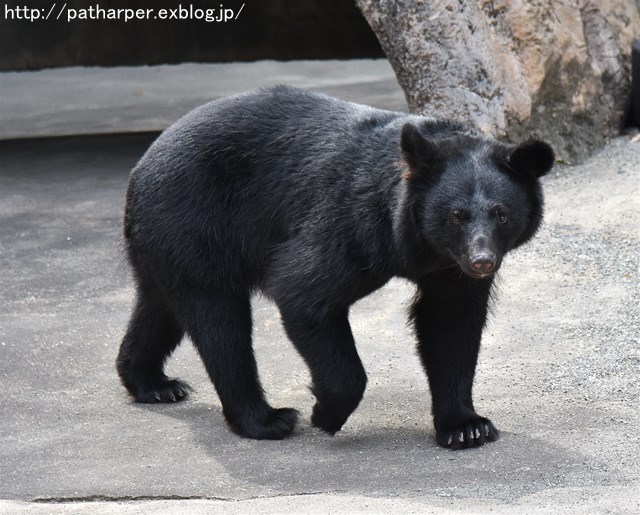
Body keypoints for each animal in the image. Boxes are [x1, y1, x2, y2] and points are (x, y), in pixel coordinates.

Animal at [117, 84, 552, 448]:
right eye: (457, 215)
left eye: (501, 214)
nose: (482, 261)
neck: (420, 246)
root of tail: (142, 165)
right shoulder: (353, 223)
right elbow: (304, 291)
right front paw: (325, 413)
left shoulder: (447, 269)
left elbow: (450, 322)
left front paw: (467, 426)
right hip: (195, 220)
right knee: (219, 321)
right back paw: (267, 420)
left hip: (166, 241)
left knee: (160, 306)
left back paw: (152, 383)